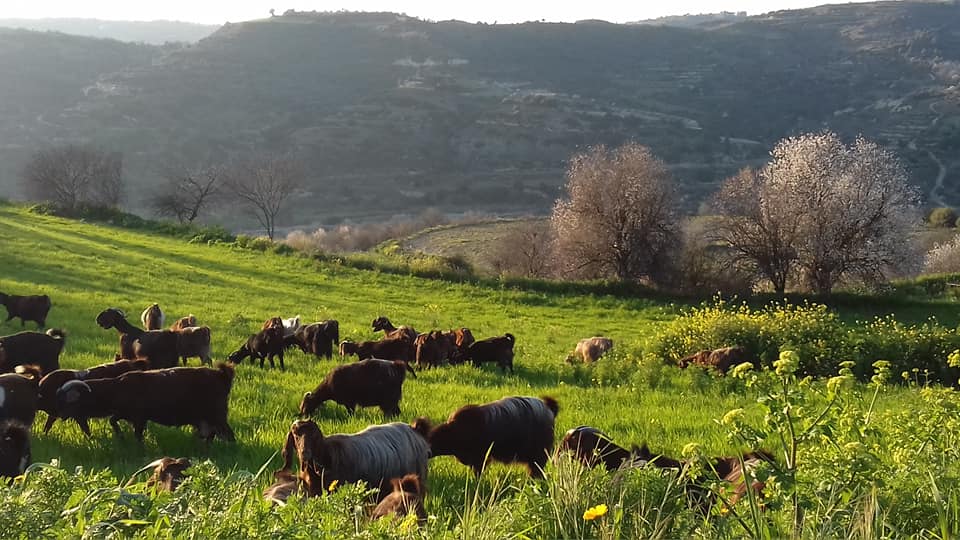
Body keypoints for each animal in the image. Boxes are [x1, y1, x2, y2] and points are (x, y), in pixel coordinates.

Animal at [55, 362, 236, 442]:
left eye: (68, 402)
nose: (60, 415)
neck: (116, 387)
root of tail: (222, 375)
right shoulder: (127, 415)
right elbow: (113, 420)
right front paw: (121, 436)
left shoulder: (140, 418)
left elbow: (136, 434)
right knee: (212, 434)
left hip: (217, 415)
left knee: (229, 434)